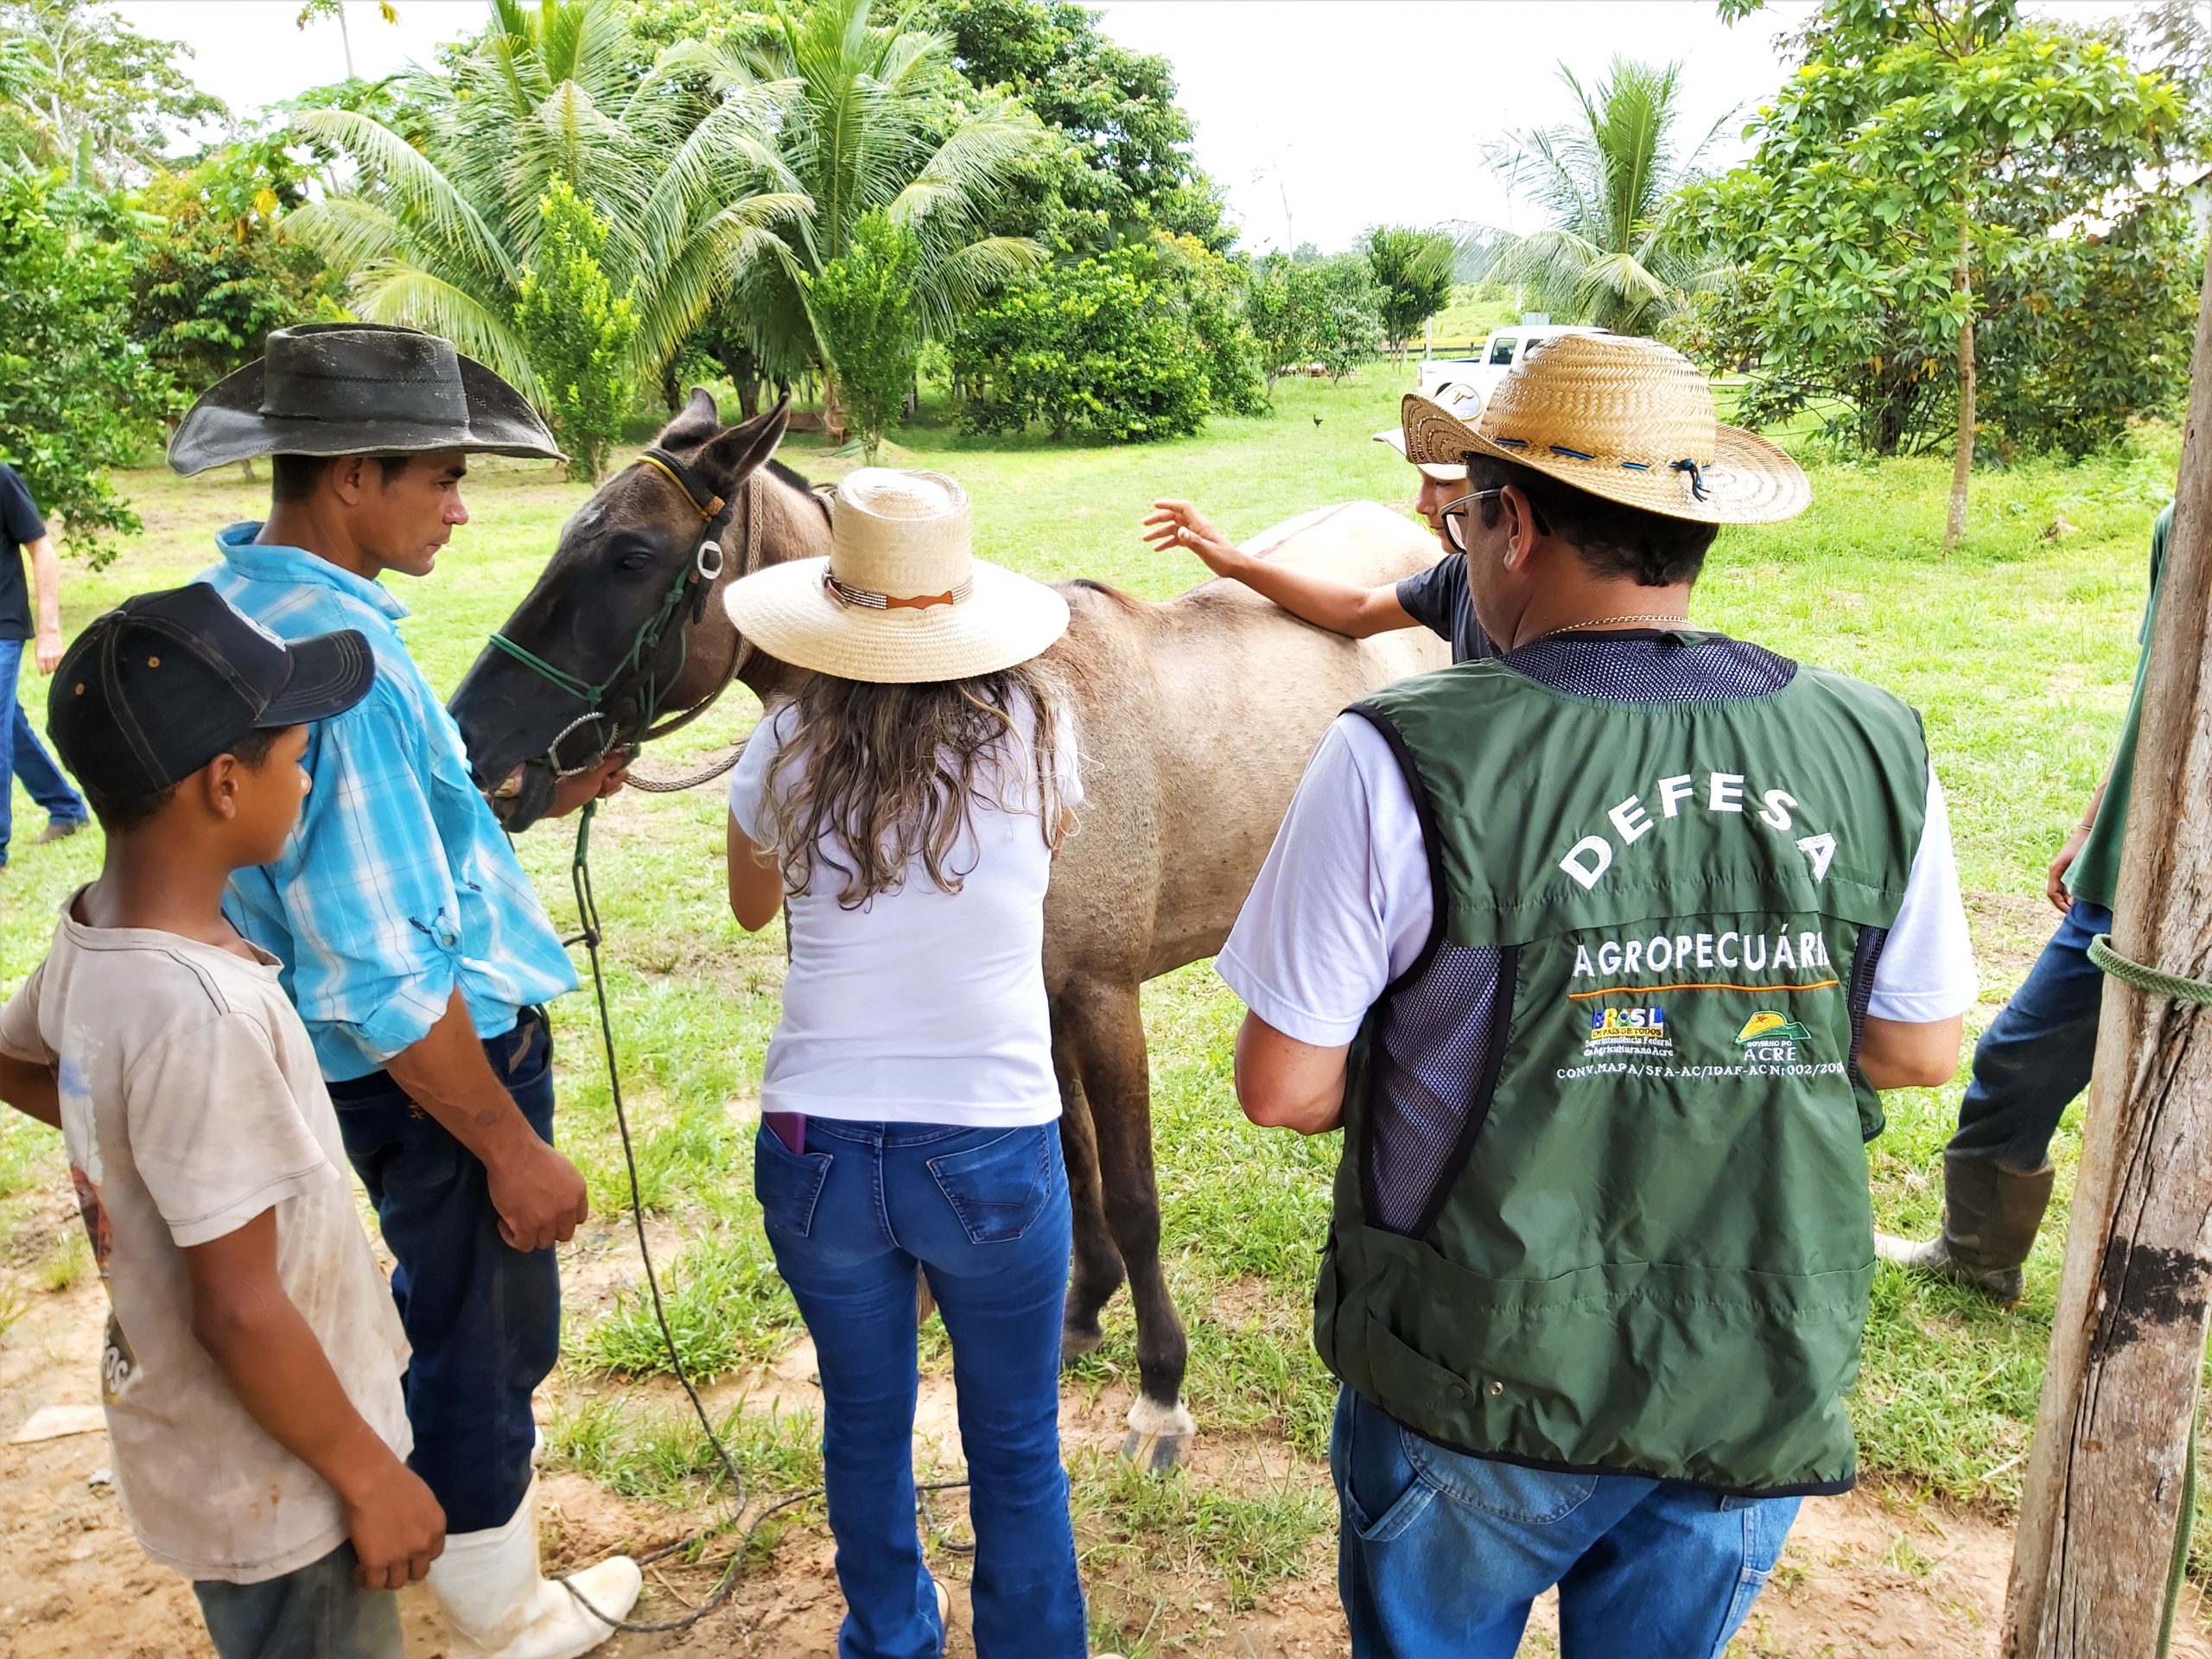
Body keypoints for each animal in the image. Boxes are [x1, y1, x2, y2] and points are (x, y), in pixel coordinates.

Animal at [448, 396, 1451, 1478]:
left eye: (630, 556)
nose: (474, 745)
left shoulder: (1104, 999)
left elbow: (1132, 1197)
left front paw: (1160, 1392)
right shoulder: (1036, 999)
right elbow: (1071, 1163)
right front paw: (1079, 1314)